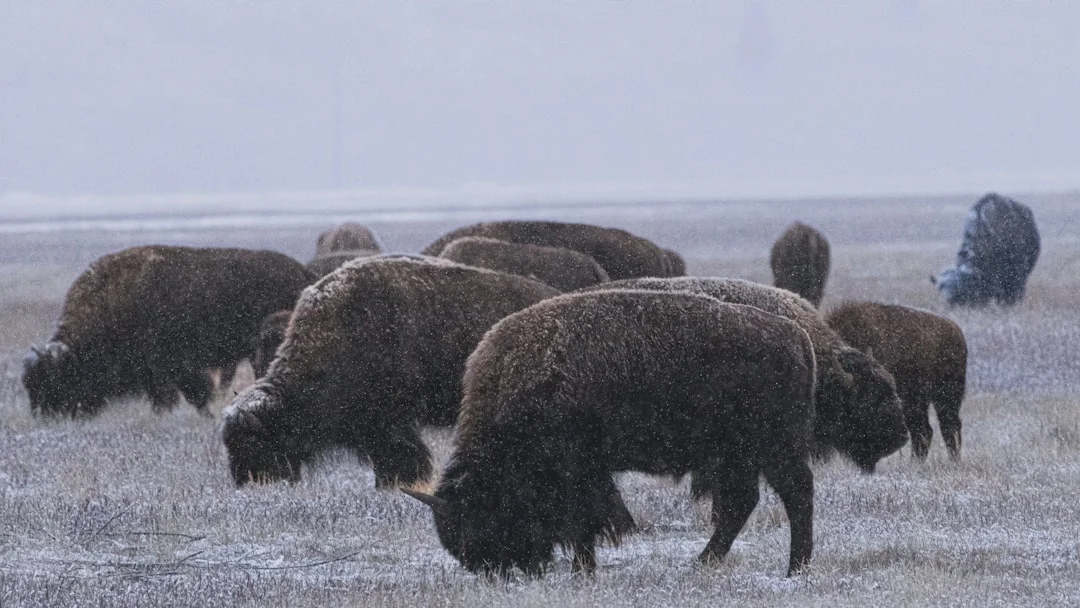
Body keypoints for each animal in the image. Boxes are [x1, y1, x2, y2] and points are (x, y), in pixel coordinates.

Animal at [22, 246, 315, 417]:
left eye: (57, 379)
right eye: (29, 383)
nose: (47, 416)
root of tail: (304, 273)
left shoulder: (167, 369)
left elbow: (178, 397)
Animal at [406, 290, 817, 576]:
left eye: (481, 518)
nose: (499, 572)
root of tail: (796, 335)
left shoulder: (580, 472)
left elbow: (585, 521)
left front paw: (582, 571)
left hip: (772, 448)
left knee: (795, 494)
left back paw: (795, 569)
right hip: (736, 455)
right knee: (741, 503)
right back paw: (702, 564)